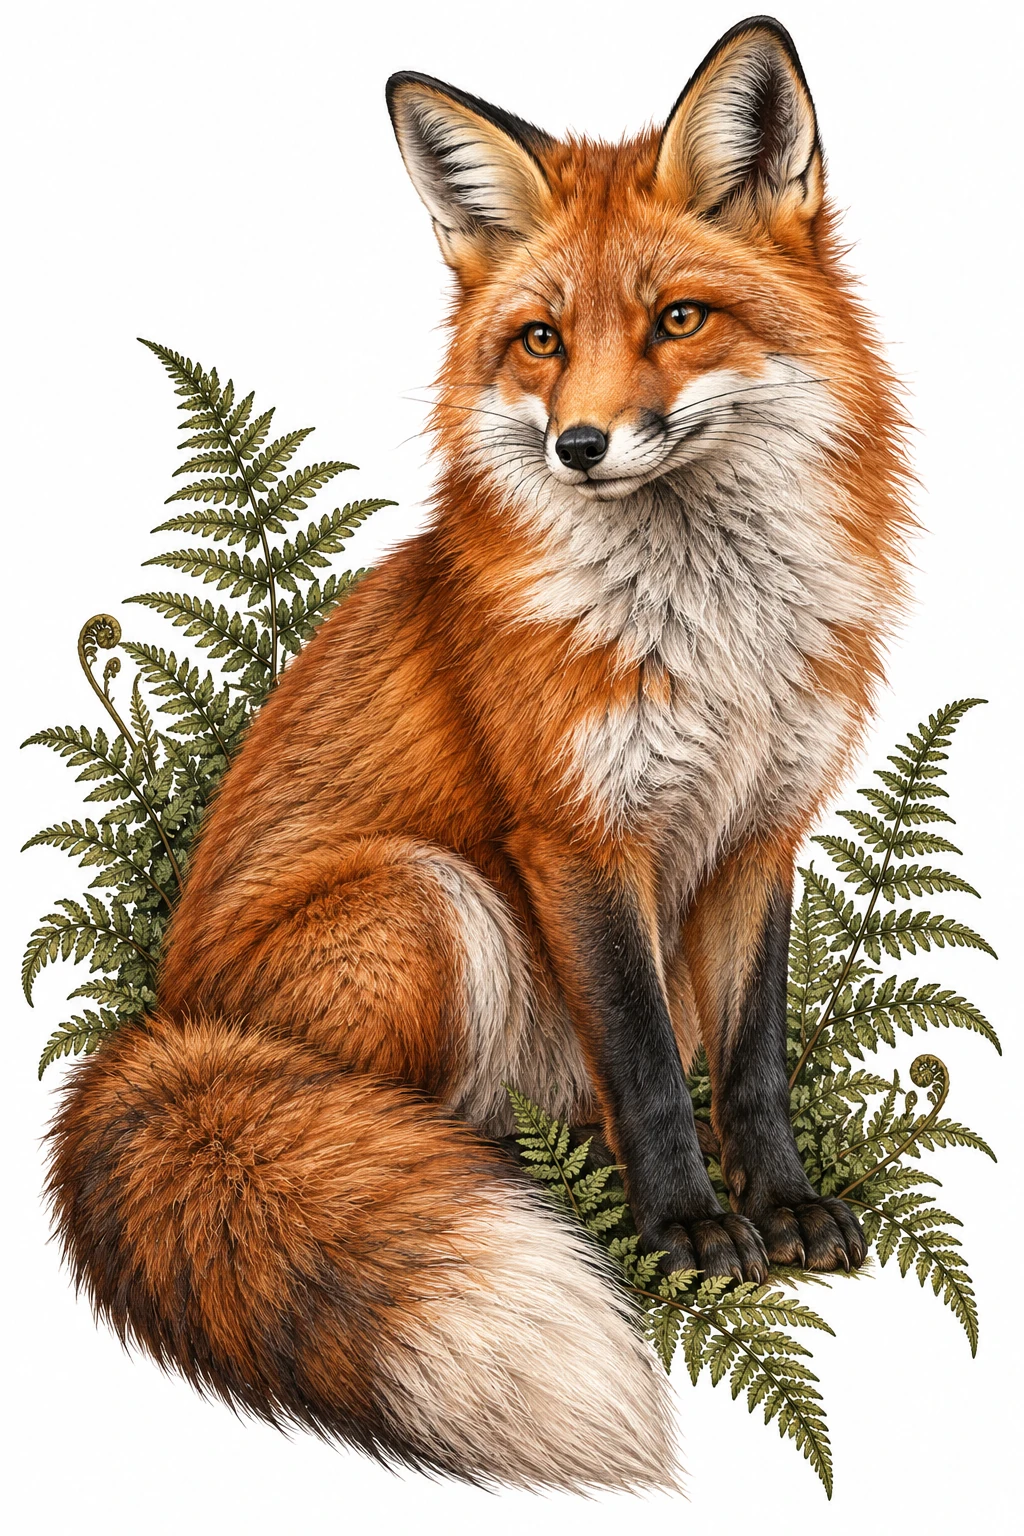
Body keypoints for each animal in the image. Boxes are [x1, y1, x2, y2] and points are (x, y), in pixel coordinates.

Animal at [46, 15, 912, 1495]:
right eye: (541, 340)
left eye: (679, 320)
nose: (580, 445)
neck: (712, 635)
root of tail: (160, 1030)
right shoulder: (575, 838)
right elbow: (646, 1058)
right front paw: (688, 1230)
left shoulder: (761, 832)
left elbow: (750, 1059)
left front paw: (783, 1204)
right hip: (429, 900)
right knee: (396, 1123)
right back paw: (492, 1187)